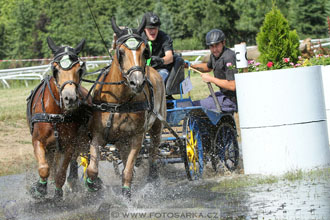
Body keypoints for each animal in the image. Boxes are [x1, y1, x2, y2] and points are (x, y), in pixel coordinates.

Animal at [26, 37, 91, 200]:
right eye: (55, 69)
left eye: (79, 69)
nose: (70, 98)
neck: (56, 115)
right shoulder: (38, 141)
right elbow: (44, 168)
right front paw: (40, 189)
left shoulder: (68, 145)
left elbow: (61, 173)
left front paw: (58, 194)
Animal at [85, 16, 166, 196]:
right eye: (120, 52)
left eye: (145, 51)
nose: (137, 82)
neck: (118, 102)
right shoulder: (98, 136)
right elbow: (92, 169)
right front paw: (94, 185)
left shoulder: (137, 137)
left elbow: (128, 171)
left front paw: (126, 195)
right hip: (121, 141)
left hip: (157, 125)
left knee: (153, 152)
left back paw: (153, 177)